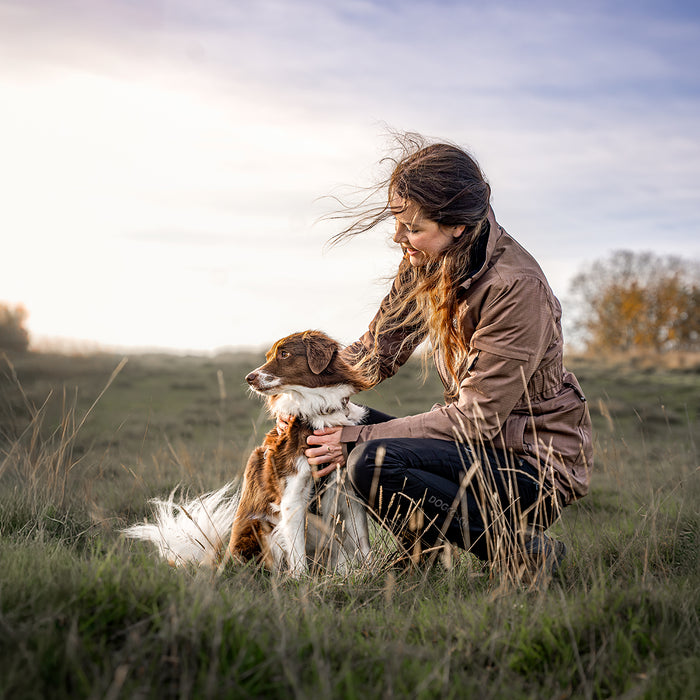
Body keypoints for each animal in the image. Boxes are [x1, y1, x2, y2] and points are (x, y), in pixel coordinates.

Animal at [123, 330, 372, 576]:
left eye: (284, 354)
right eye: (269, 355)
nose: (249, 378)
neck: (317, 414)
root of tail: (224, 562)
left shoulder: (348, 495)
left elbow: (363, 542)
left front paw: (371, 572)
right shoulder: (292, 497)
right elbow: (298, 555)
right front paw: (301, 582)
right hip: (260, 527)